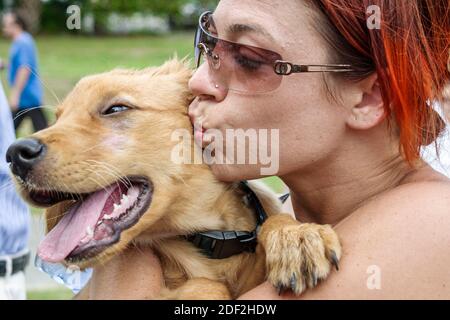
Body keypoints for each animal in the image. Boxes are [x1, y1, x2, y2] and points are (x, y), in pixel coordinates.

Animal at [6, 58, 342, 300]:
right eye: (59, 118)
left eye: (116, 108)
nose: (15, 153)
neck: (211, 240)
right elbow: (209, 287)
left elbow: (275, 219)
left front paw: (297, 238)